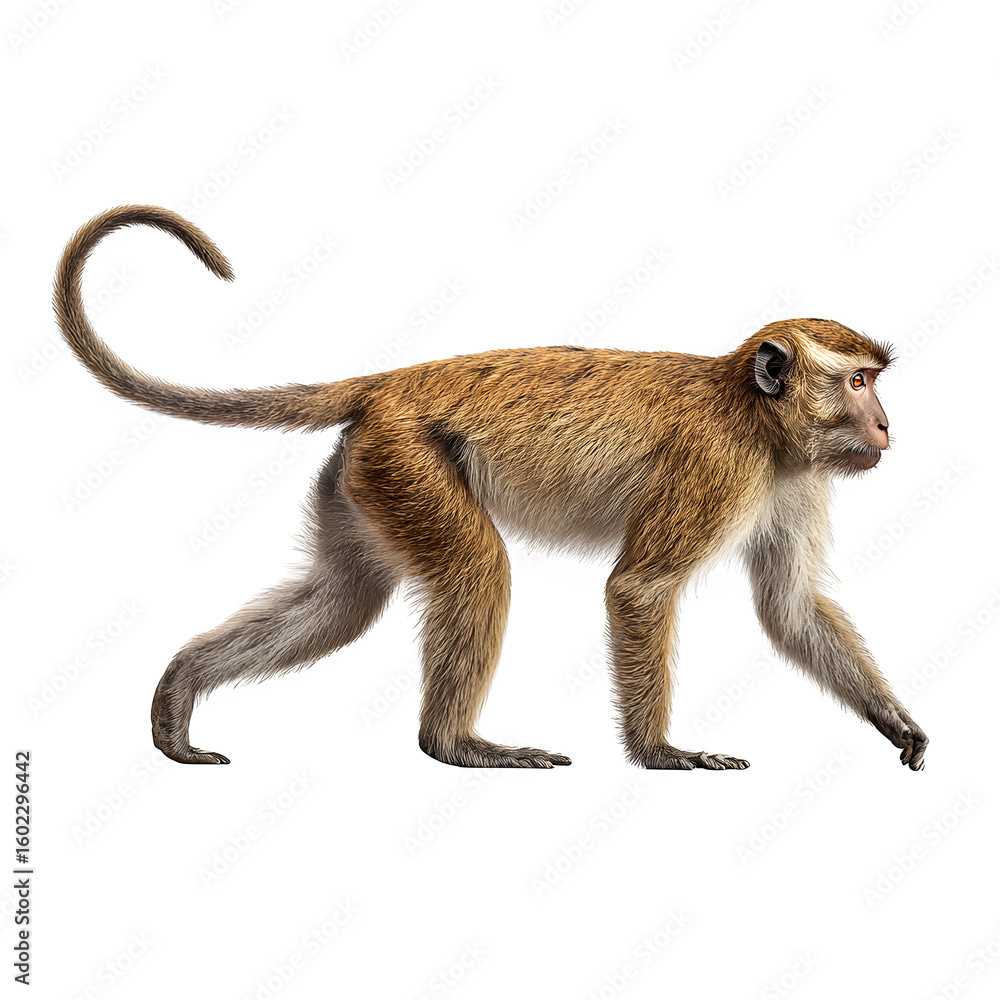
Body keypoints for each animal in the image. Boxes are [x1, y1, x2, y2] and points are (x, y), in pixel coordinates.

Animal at [53, 205, 929, 771]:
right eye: (857, 382)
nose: (888, 426)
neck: (752, 413)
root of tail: (392, 381)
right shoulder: (720, 467)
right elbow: (639, 589)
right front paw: (658, 753)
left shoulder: (796, 479)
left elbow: (790, 609)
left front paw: (896, 723)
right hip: (408, 458)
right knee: (476, 569)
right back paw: (455, 745)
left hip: (365, 469)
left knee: (345, 598)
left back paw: (182, 688)